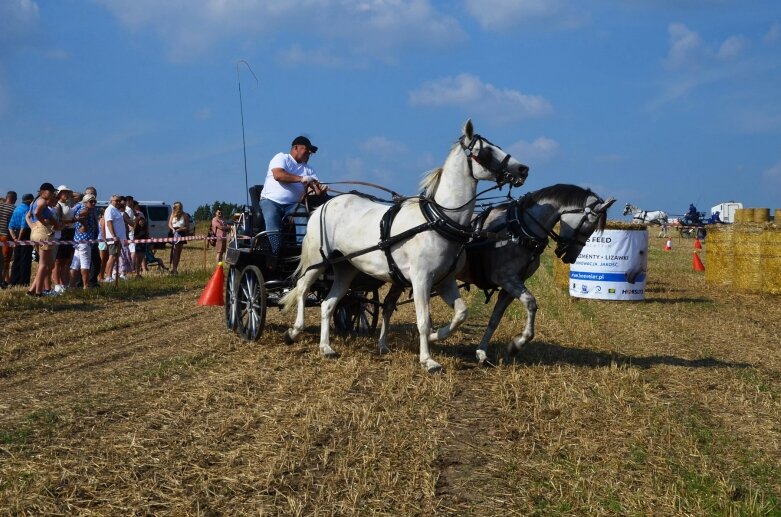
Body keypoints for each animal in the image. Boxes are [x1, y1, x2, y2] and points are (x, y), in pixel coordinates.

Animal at [280, 120, 532, 370]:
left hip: (345, 269)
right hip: (318, 261)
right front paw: (428, 360)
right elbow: (423, 320)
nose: (523, 169)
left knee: (328, 304)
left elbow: (461, 313)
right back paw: (294, 332)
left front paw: (436, 336)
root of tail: (323, 206)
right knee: (302, 289)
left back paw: (326, 347)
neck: (439, 220)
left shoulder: (445, 281)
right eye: (486, 151)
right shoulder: (421, 279)